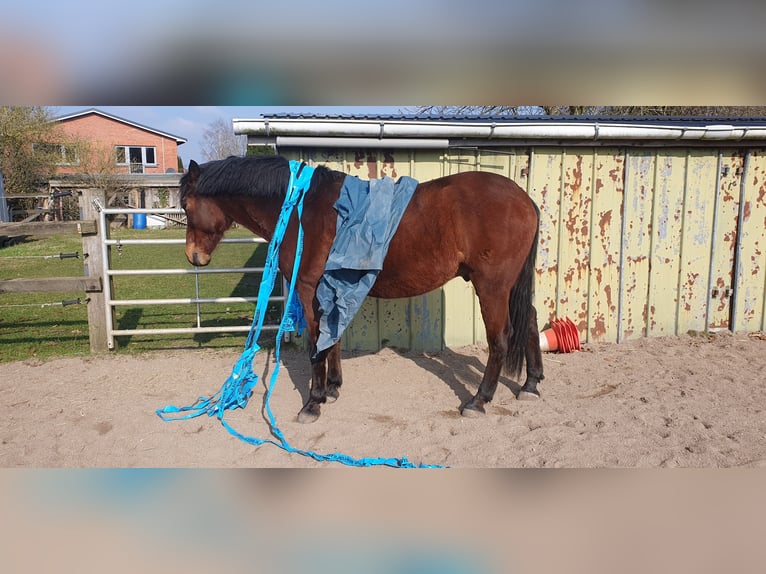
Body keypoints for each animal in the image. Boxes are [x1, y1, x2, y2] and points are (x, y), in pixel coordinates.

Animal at [182, 155, 544, 426]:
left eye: (185, 204)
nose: (194, 257)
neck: (304, 210)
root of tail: (524, 199)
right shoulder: (331, 290)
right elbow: (333, 338)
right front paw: (332, 389)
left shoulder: (310, 290)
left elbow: (317, 343)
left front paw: (313, 402)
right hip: (510, 286)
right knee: (529, 320)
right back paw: (530, 385)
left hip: (492, 286)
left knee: (500, 339)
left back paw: (478, 400)